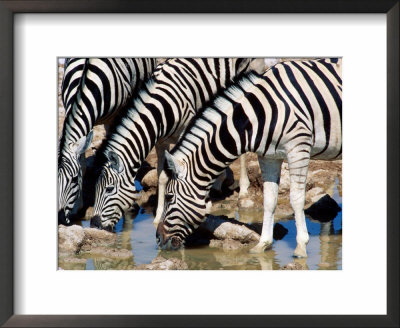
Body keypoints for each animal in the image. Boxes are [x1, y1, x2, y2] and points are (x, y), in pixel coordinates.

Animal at [90, 57, 266, 231]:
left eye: (109, 189)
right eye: (95, 188)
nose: (94, 224)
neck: (160, 109)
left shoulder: (186, 132)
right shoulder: (160, 142)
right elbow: (162, 176)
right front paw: (158, 216)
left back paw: (243, 189)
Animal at [156, 57, 340, 258]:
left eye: (169, 197)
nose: (158, 239)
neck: (259, 115)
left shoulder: (298, 148)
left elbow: (296, 199)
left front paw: (300, 247)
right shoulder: (269, 156)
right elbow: (269, 200)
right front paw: (263, 244)